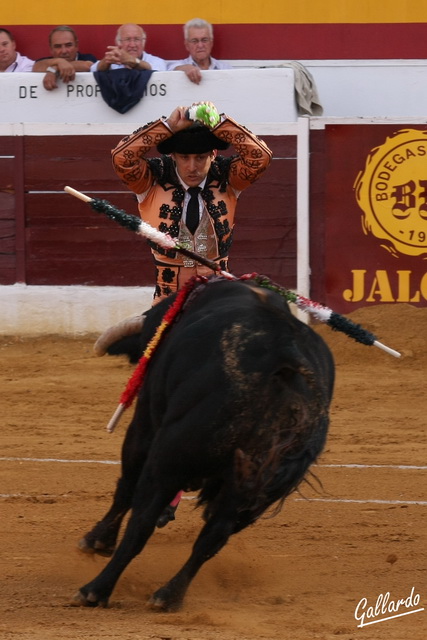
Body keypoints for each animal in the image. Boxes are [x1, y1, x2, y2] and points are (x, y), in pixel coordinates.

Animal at [74, 278, 334, 608]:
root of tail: (286, 367)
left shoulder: (144, 426)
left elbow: (126, 487)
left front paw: (97, 541)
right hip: (255, 492)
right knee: (214, 537)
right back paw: (168, 596)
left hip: (167, 459)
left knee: (141, 523)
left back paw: (95, 589)